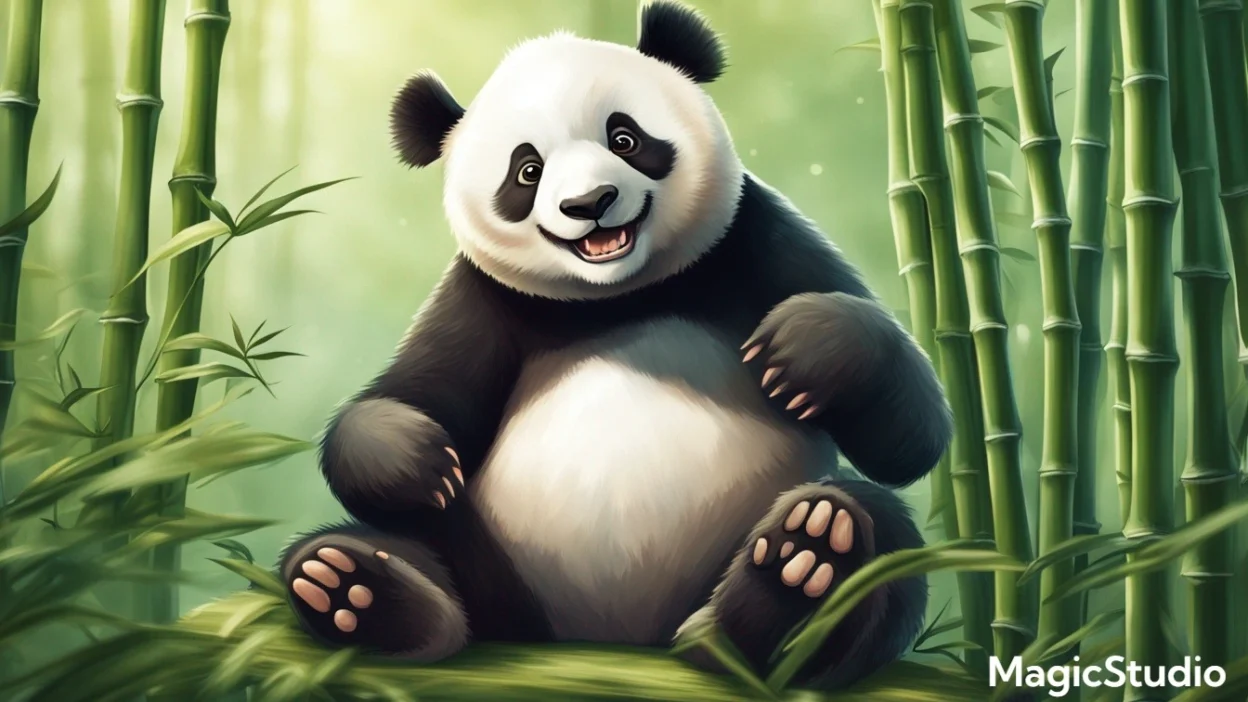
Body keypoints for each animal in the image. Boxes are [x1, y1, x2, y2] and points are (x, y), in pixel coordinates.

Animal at [281, 1, 952, 690]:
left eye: (624, 138)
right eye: (527, 170)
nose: (590, 203)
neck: (619, 297)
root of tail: (616, 637)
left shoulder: (753, 238)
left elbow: (911, 437)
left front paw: (803, 350)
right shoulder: (485, 298)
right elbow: (414, 394)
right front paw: (417, 462)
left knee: (878, 532)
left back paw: (789, 581)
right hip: (493, 568)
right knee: (403, 546)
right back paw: (361, 593)